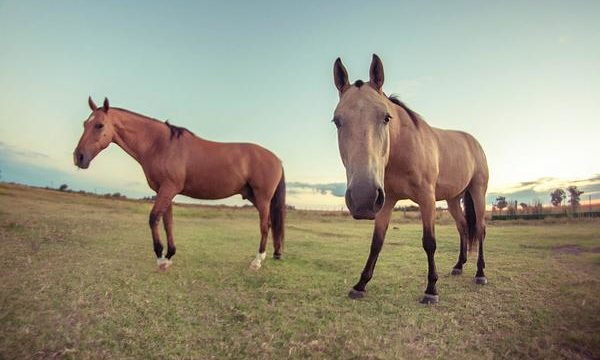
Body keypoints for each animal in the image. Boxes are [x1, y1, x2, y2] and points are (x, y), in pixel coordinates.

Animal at [74, 97, 284, 272]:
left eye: (99, 125)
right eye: (85, 124)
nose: (79, 157)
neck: (161, 145)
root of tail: (276, 159)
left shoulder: (168, 189)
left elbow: (154, 219)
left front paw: (160, 258)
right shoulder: (165, 191)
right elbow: (168, 223)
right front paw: (169, 256)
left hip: (262, 198)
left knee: (264, 225)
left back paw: (257, 261)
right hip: (253, 196)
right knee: (270, 223)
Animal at [330, 55, 490, 304]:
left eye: (386, 118)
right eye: (337, 121)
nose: (362, 198)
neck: (404, 147)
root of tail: (473, 142)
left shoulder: (427, 199)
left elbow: (429, 242)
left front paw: (431, 289)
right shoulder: (385, 201)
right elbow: (376, 243)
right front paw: (360, 284)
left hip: (477, 192)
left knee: (480, 229)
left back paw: (480, 273)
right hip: (453, 199)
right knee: (463, 227)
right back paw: (458, 266)